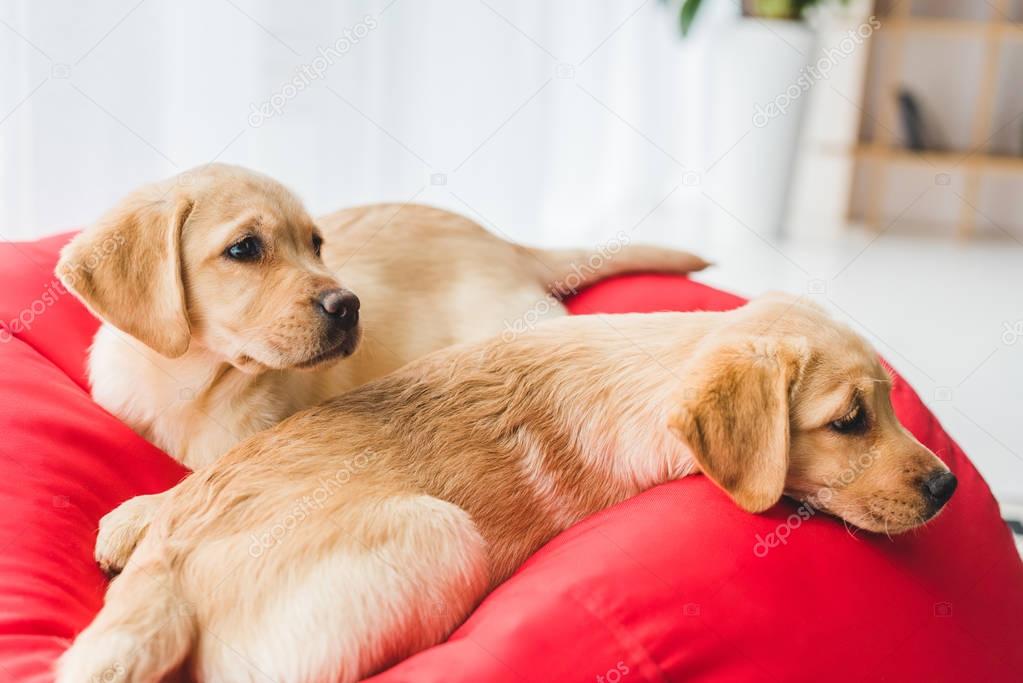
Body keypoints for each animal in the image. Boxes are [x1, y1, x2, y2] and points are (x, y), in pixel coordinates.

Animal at [56, 163, 707, 572]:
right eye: (244, 249)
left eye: (317, 244)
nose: (348, 305)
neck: (195, 384)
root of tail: (502, 244)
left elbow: (202, 480)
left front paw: (135, 516)